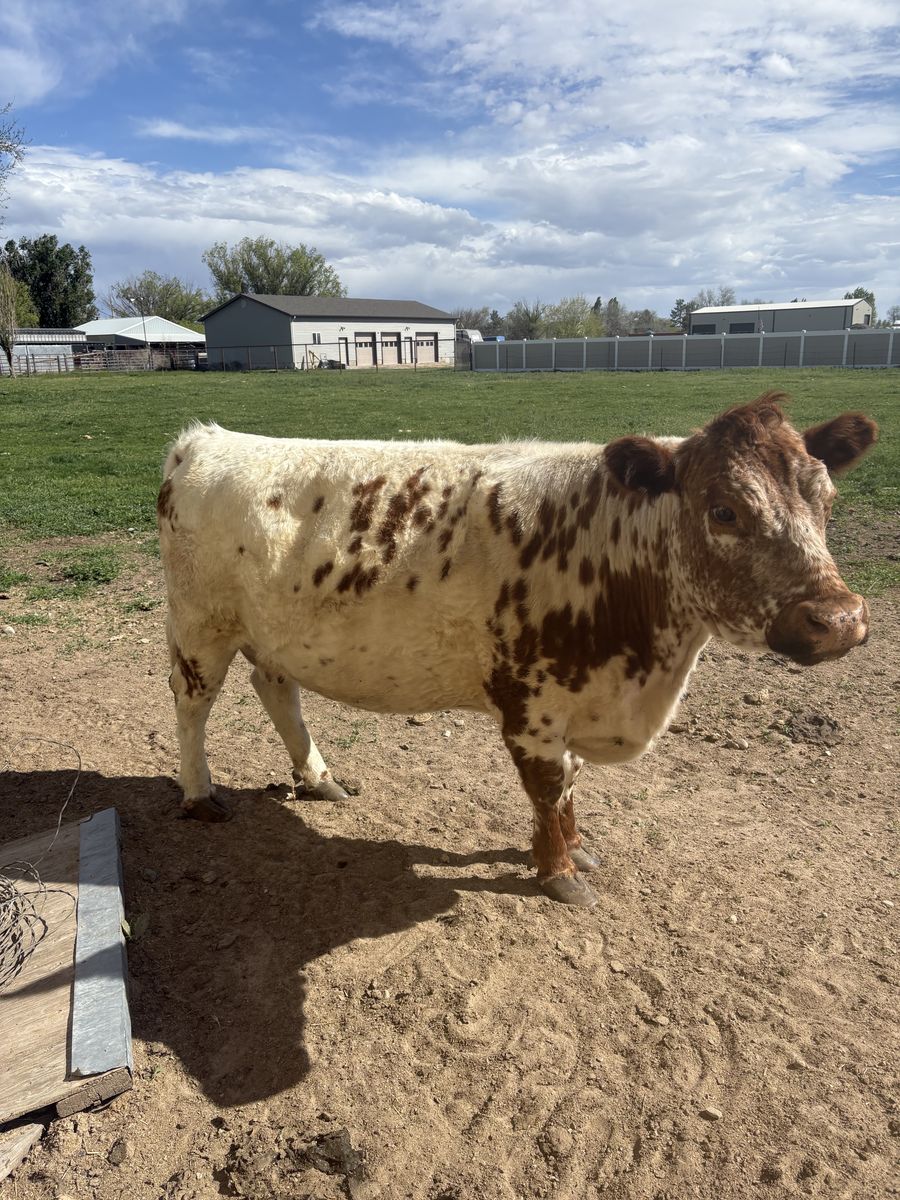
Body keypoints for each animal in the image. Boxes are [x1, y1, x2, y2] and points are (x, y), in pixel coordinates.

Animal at [157, 392, 876, 907]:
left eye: (827, 499)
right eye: (724, 510)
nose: (839, 619)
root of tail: (206, 440)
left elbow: (569, 785)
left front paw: (572, 847)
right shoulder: (530, 706)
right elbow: (547, 787)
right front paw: (557, 871)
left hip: (274, 633)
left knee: (277, 690)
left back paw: (319, 777)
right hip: (199, 626)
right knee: (192, 705)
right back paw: (199, 795)